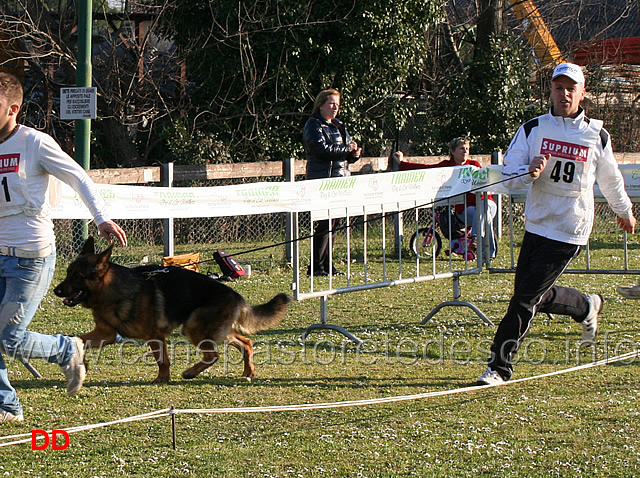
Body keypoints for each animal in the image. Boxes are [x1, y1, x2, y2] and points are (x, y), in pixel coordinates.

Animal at [53, 239, 292, 384]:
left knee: (213, 355)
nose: (56, 290)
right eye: (67, 273)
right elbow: (78, 339)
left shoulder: (155, 336)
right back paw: (248, 372)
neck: (112, 291)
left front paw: (162, 379)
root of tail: (235, 295)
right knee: (246, 343)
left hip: (193, 327)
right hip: (215, 331)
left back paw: (190, 373)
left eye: (77, 276)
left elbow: (162, 360)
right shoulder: (106, 334)